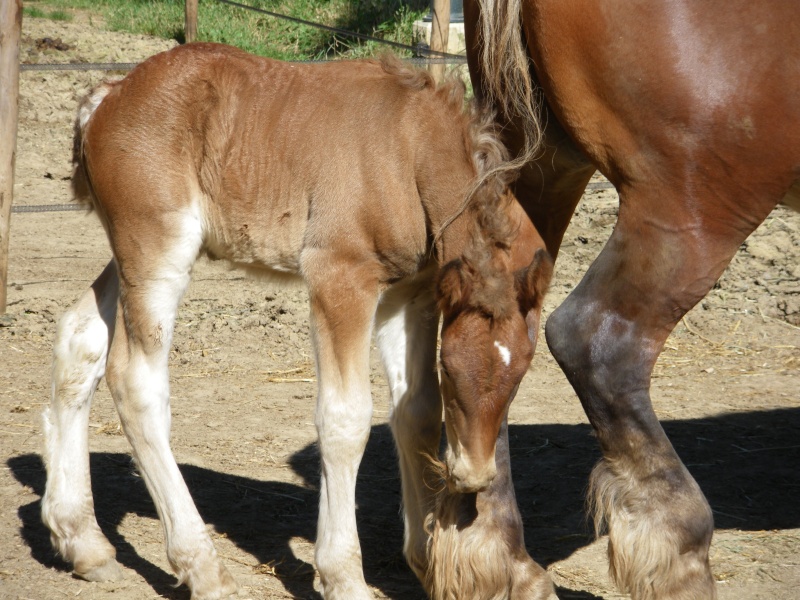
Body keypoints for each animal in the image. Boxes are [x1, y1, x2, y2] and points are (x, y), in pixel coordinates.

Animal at [462, 0, 800, 596]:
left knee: (492, 341)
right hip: (697, 201)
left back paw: (503, 564)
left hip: (537, 160)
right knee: (595, 340)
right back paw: (676, 546)